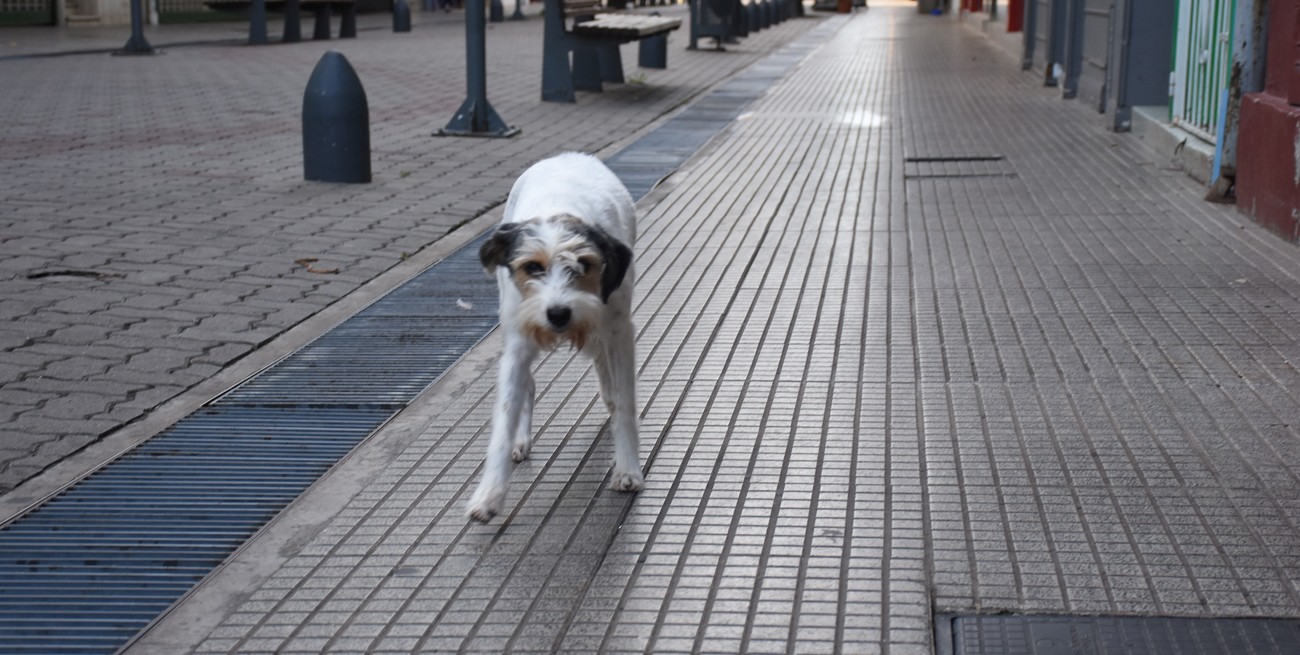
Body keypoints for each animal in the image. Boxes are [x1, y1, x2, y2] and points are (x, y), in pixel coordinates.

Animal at [473, 152, 644, 522]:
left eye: (582, 264)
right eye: (532, 267)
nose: (558, 314)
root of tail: (567, 156)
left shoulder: (619, 331)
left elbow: (625, 401)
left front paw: (628, 468)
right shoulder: (519, 340)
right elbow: (503, 417)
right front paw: (489, 494)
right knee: (530, 384)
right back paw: (521, 441)